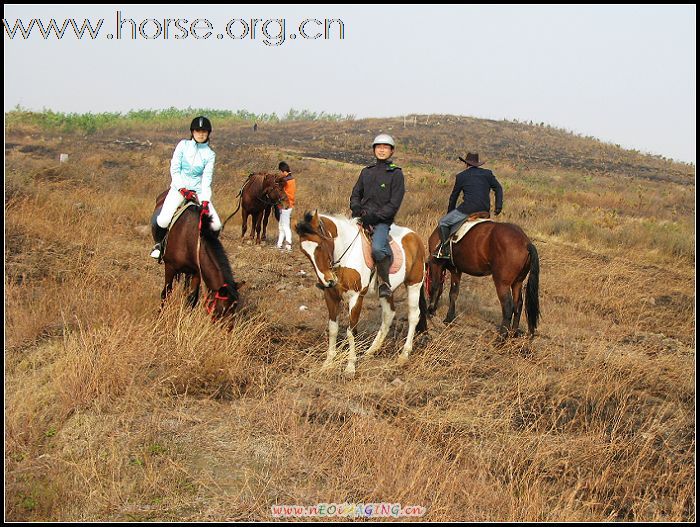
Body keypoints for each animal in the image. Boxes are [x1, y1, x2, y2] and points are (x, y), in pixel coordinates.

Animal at [151, 192, 243, 320]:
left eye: (234, 308)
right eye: (221, 309)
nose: (228, 327)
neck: (188, 237)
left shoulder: (197, 272)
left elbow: (192, 297)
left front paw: (186, 316)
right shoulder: (169, 267)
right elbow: (166, 292)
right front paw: (159, 316)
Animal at [296, 211, 426, 380]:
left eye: (321, 245)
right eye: (304, 251)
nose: (328, 281)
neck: (346, 256)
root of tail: (415, 236)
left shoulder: (356, 297)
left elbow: (351, 332)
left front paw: (350, 367)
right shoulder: (331, 297)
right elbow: (333, 329)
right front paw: (328, 364)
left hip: (414, 285)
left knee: (413, 316)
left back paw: (404, 355)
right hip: (386, 291)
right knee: (388, 315)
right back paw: (371, 351)